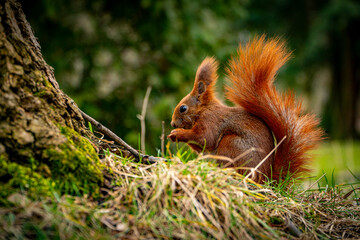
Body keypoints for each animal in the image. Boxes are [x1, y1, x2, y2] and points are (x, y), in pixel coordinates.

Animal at [168, 35, 324, 182]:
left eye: (183, 108)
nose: (172, 124)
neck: (204, 109)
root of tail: (266, 180)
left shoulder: (210, 120)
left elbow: (204, 138)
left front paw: (177, 133)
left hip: (231, 144)